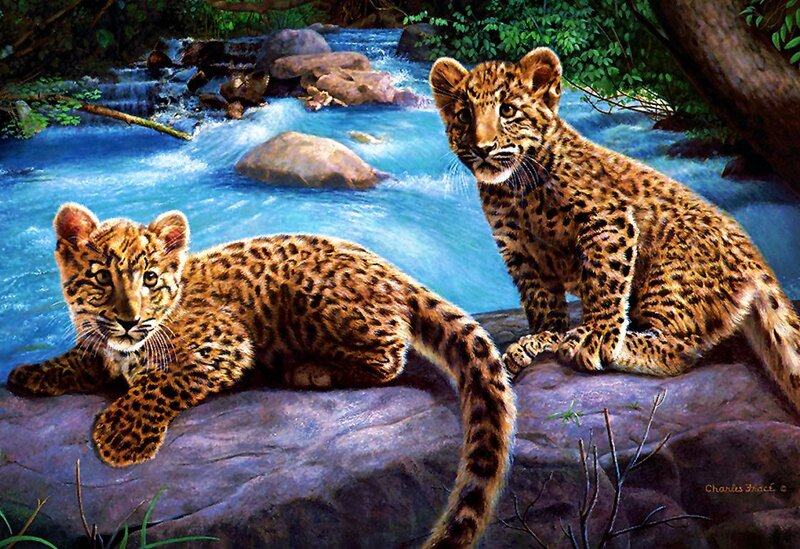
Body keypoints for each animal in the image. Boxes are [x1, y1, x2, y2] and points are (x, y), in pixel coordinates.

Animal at [5, 203, 516, 549]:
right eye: (101, 277)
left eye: (150, 278)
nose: (130, 320)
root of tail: (392, 269)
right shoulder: (103, 347)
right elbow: (82, 358)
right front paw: (29, 373)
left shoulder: (224, 343)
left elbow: (160, 382)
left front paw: (122, 436)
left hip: (318, 299)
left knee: (392, 354)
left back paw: (307, 370)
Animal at [429, 46, 800, 413]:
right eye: (464, 115)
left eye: (507, 110)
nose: (482, 148)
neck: (514, 190)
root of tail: (754, 257)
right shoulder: (519, 248)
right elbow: (540, 298)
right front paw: (542, 338)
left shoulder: (608, 220)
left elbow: (604, 281)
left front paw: (595, 337)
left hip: (669, 276)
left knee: (679, 347)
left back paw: (608, 344)